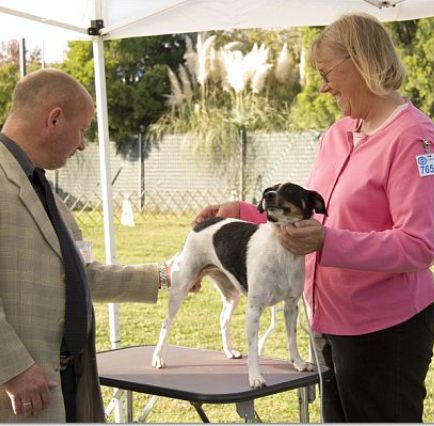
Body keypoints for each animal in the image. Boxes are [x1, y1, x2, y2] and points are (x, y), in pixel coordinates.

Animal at [153, 181, 326, 388]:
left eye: (290, 190)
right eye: (269, 189)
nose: (267, 195)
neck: (280, 248)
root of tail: (203, 223)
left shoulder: (291, 306)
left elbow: (291, 339)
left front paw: (298, 363)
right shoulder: (254, 309)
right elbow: (253, 349)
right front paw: (256, 377)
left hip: (231, 294)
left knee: (223, 319)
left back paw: (229, 351)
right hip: (181, 289)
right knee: (166, 324)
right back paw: (158, 357)